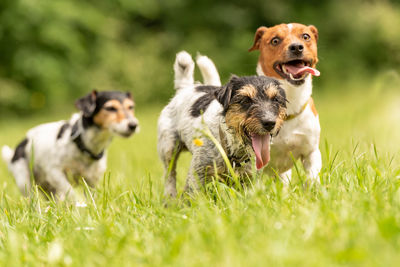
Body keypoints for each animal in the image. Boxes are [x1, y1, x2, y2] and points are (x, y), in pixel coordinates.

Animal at [1, 90, 139, 201]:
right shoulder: (55, 173)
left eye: (131, 107)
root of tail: (20, 145)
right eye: (110, 108)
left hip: (48, 189)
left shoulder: (92, 182)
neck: (84, 146)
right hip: (24, 181)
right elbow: (71, 192)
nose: (133, 125)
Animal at [158, 51, 286, 198]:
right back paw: (170, 198)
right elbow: (194, 195)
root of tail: (185, 89)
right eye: (245, 100)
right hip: (168, 148)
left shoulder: (249, 179)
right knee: (170, 174)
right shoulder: (198, 174)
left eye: (276, 99)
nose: (269, 122)